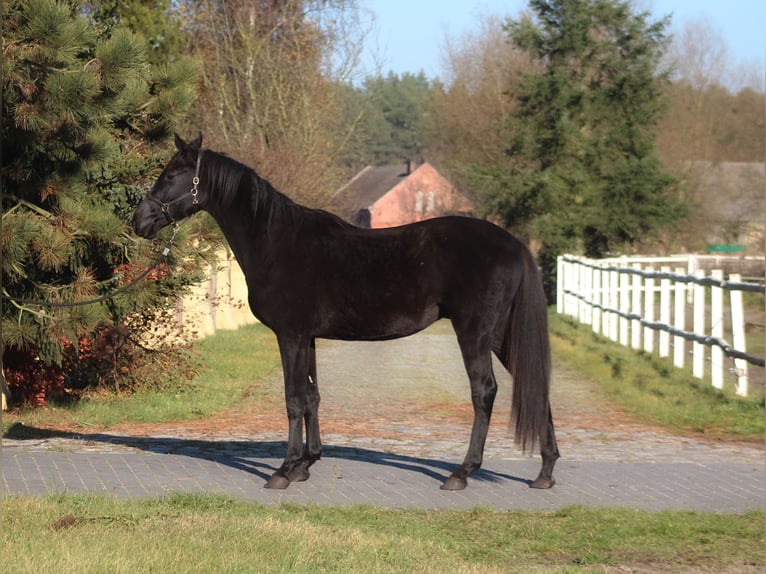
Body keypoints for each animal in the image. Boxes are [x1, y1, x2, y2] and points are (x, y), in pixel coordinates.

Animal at [133, 133, 560, 491]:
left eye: (171, 175)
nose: (140, 221)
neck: (275, 240)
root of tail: (514, 244)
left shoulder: (290, 335)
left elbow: (293, 398)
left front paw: (283, 471)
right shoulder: (307, 337)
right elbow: (312, 396)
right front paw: (306, 465)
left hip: (474, 332)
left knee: (484, 392)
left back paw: (461, 473)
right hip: (501, 335)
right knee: (536, 385)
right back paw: (545, 471)